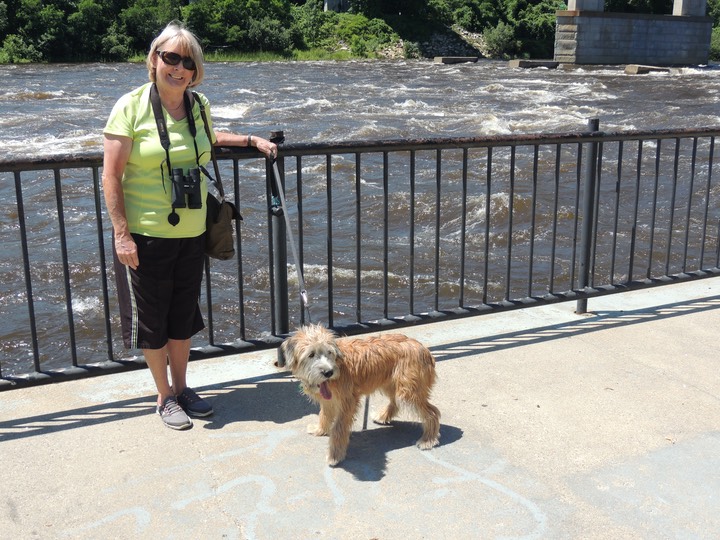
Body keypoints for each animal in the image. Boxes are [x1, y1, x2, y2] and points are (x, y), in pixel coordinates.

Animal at [278, 322, 442, 466]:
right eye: (311, 354)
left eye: (329, 352)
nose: (328, 372)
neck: (338, 364)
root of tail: (424, 350)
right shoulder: (328, 401)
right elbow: (324, 415)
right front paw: (320, 430)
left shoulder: (347, 402)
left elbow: (338, 428)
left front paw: (335, 455)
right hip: (391, 385)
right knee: (395, 403)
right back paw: (383, 416)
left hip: (407, 392)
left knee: (432, 413)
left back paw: (428, 440)